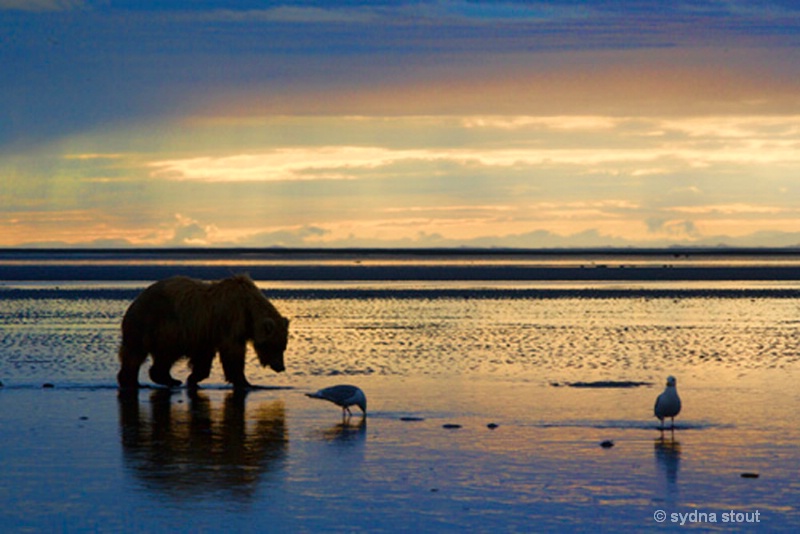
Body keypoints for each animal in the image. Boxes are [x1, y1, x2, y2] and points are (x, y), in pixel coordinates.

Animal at [117, 274, 290, 392]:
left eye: (283, 347)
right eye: (276, 346)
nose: (281, 367)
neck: (249, 310)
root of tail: (136, 301)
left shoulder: (207, 333)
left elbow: (204, 357)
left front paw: (193, 378)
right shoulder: (230, 323)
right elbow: (232, 354)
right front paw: (246, 383)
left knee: (138, 355)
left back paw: (135, 380)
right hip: (158, 325)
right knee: (152, 354)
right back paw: (165, 380)